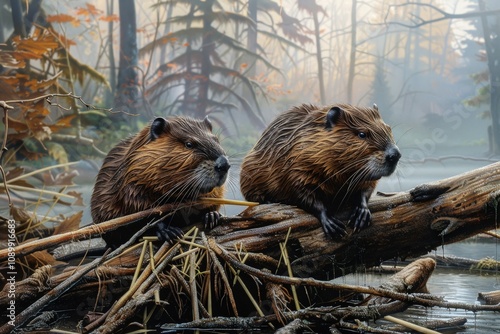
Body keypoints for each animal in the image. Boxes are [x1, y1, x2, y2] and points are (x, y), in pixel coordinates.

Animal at [91, 116, 229, 249]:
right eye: (189, 144)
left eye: (216, 140)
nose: (224, 164)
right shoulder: (131, 184)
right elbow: (142, 211)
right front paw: (170, 231)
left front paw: (212, 215)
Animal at [240, 104, 400, 237]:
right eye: (362, 134)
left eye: (389, 129)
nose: (395, 155)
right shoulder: (296, 168)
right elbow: (303, 194)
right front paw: (332, 225)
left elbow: (366, 189)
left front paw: (361, 214)